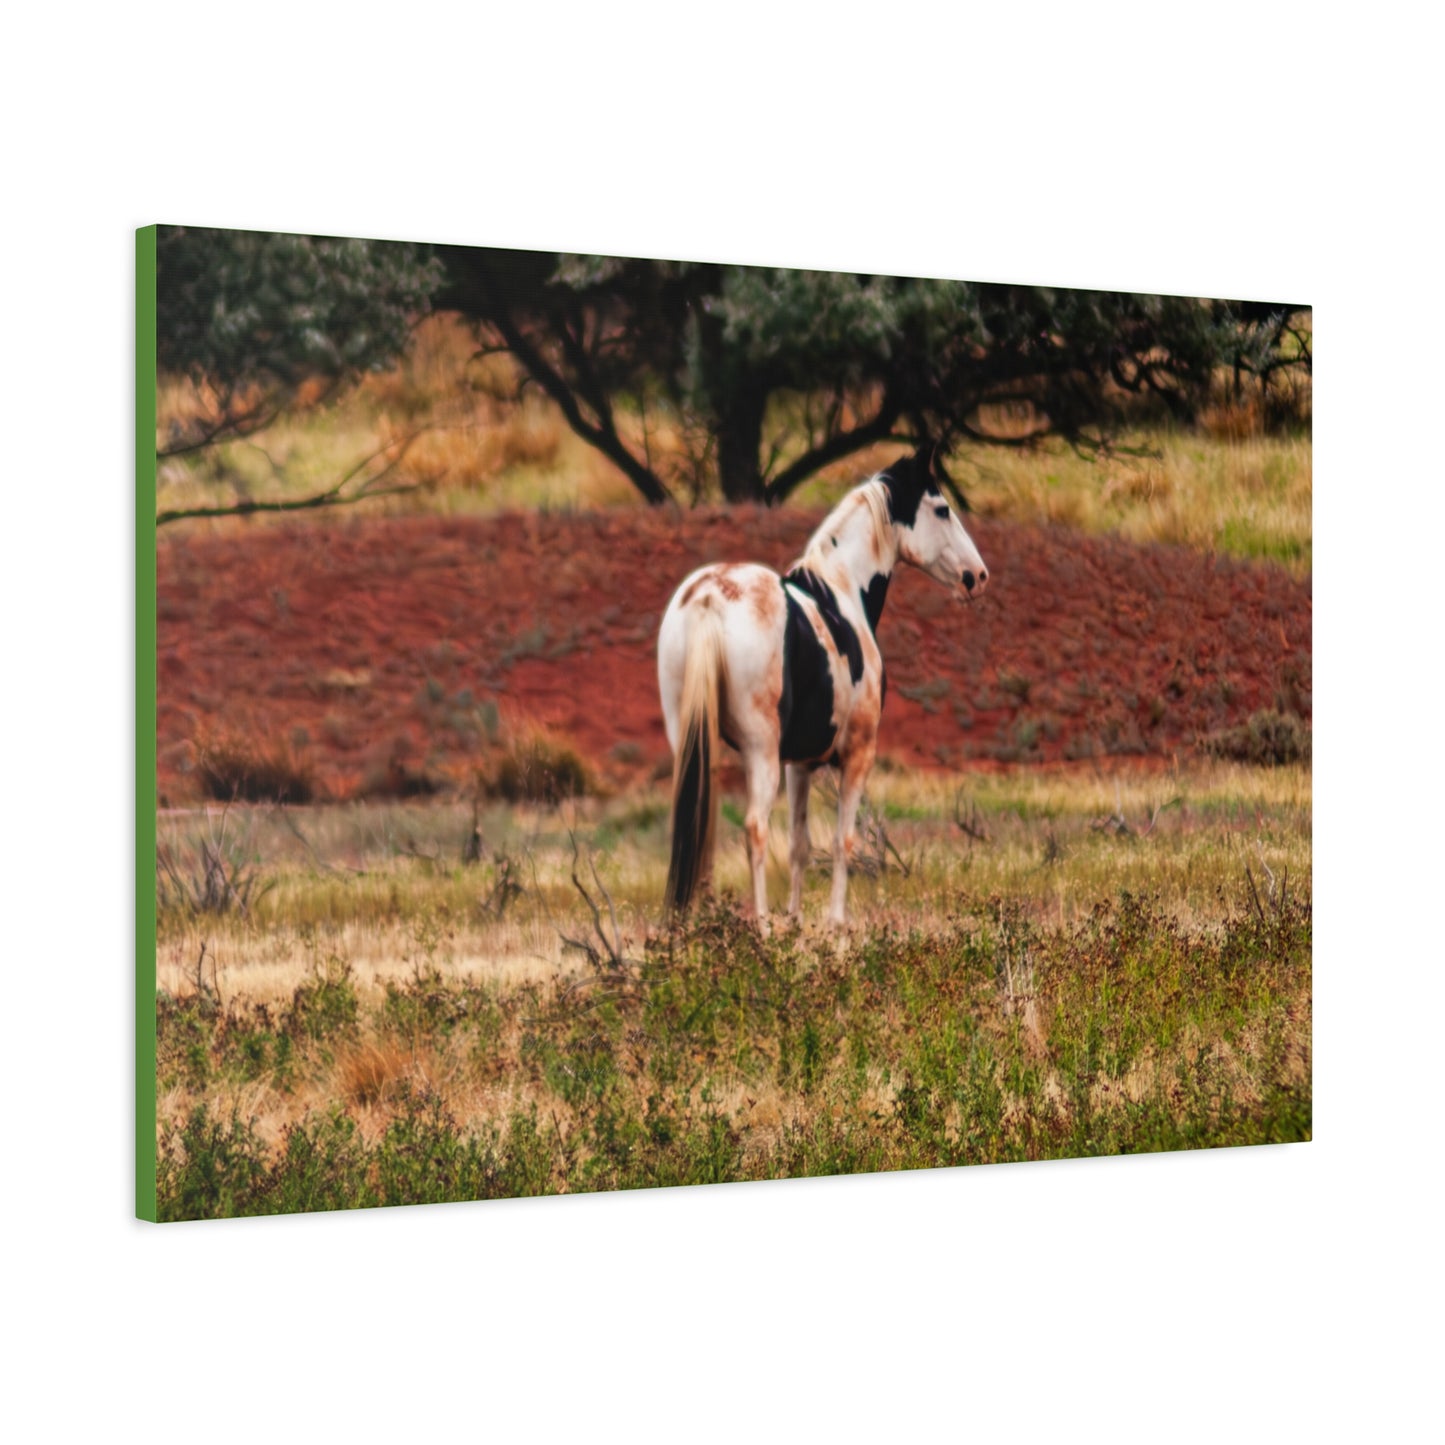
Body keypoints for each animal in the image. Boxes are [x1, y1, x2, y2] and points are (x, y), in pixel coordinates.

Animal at [657, 447, 989, 927]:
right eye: (942, 509)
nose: (977, 576)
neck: (841, 592)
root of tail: (708, 598)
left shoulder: (799, 764)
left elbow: (800, 845)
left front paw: (796, 923)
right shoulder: (856, 756)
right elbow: (841, 842)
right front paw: (835, 925)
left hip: (692, 740)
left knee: (700, 823)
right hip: (759, 750)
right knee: (755, 828)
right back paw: (761, 927)